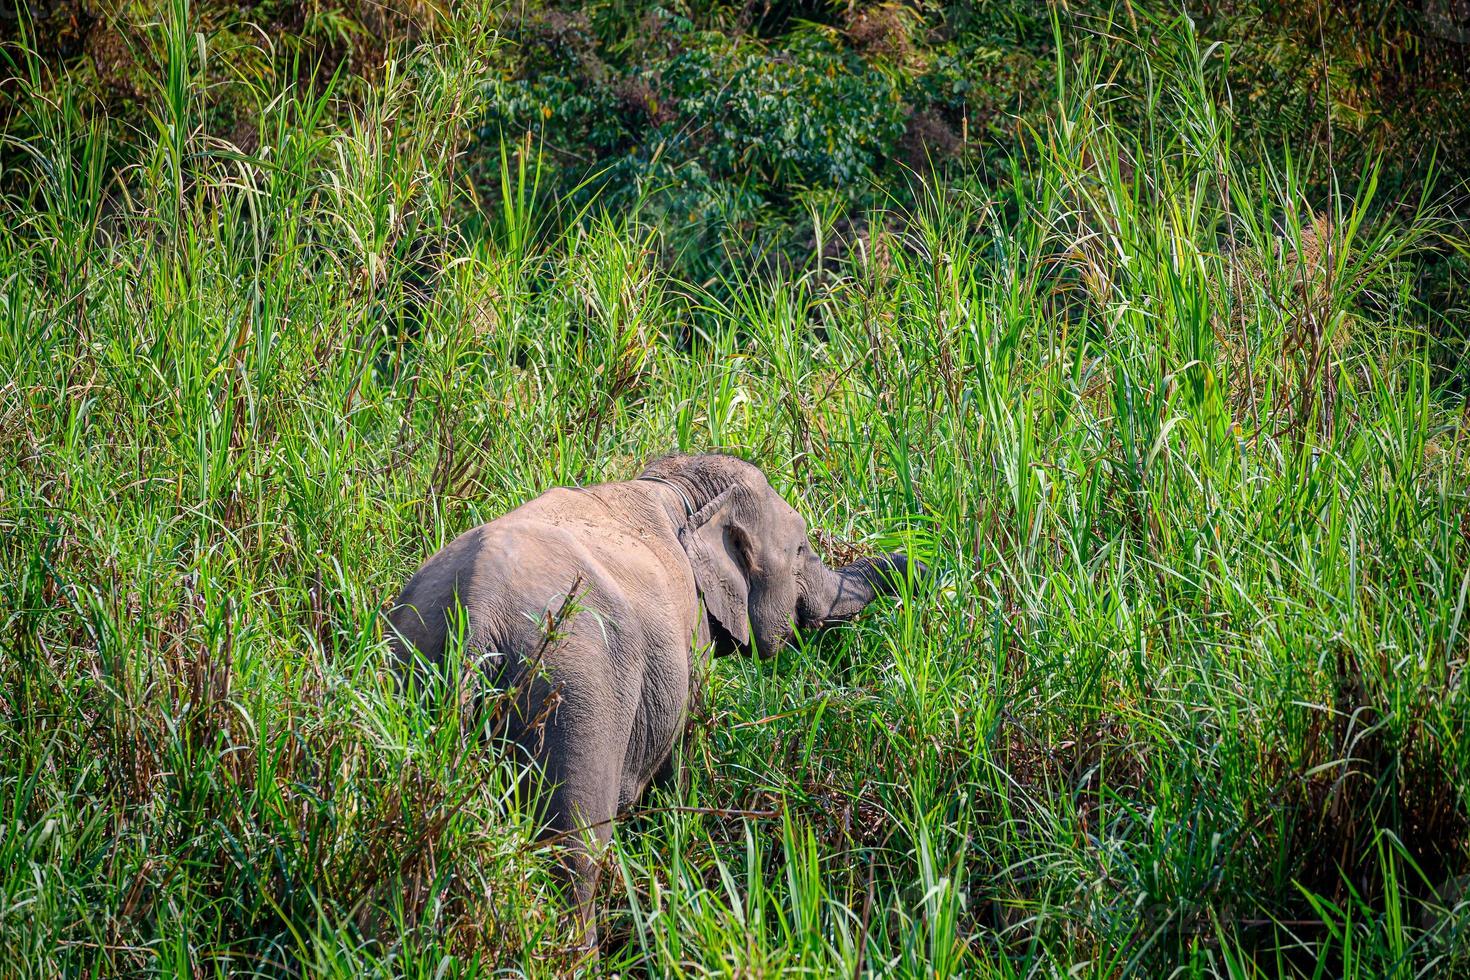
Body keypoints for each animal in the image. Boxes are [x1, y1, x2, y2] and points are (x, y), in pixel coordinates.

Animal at [385, 455, 923, 952]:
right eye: (802, 549)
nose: (923, 560)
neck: (680, 488)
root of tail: (476, 615)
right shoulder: (691, 638)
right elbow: (679, 756)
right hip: (573, 696)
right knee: (574, 853)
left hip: (412, 672)